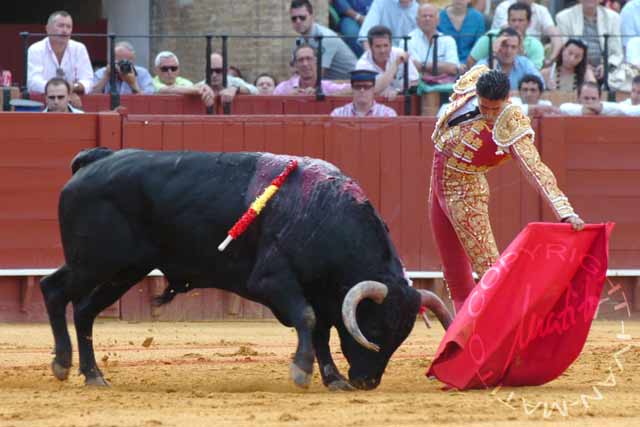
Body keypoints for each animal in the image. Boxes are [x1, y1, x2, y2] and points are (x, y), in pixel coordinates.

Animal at [41, 148, 450, 392]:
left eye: (401, 337)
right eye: (374, 330)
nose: (367, 382)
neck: (323, 215)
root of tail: (94, 160)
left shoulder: (321, 293)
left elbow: (320, 330)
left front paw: (332, 378)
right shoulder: (273, 282)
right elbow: (307, 319)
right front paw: (301, 371)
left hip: (125, 270)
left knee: (84, 311)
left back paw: (94, 375)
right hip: (93, 262)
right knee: (53, 289)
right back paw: (62, 363)